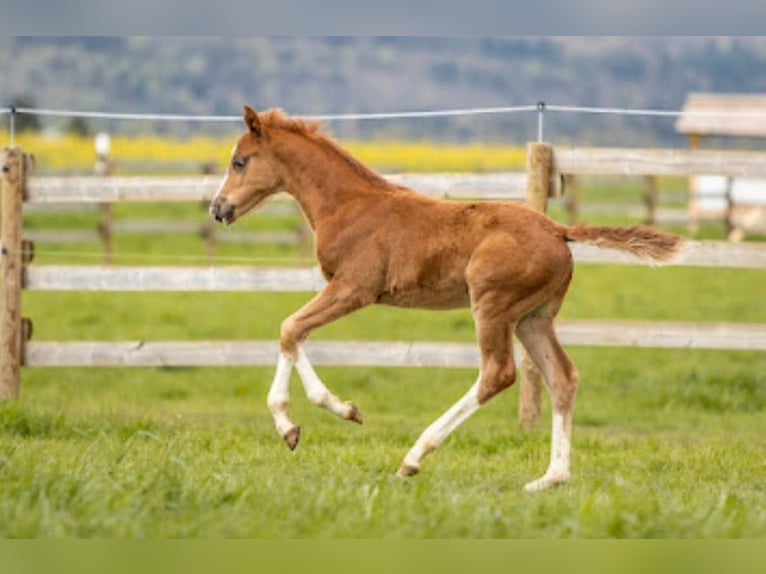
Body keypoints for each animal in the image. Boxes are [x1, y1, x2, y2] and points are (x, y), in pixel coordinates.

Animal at [212, 106, 684, 492]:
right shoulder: (344, 291)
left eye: (240, 161)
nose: (218, 209)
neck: (349, 205)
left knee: (498, 373)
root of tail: (558, 230)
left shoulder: (354, 288)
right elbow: (295, 333)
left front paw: (313, 419)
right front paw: (314, 421)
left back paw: (414, 457)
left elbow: (290, 328)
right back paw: (550, 478)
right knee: (562, 377)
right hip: (532, 317)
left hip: (493, 306)